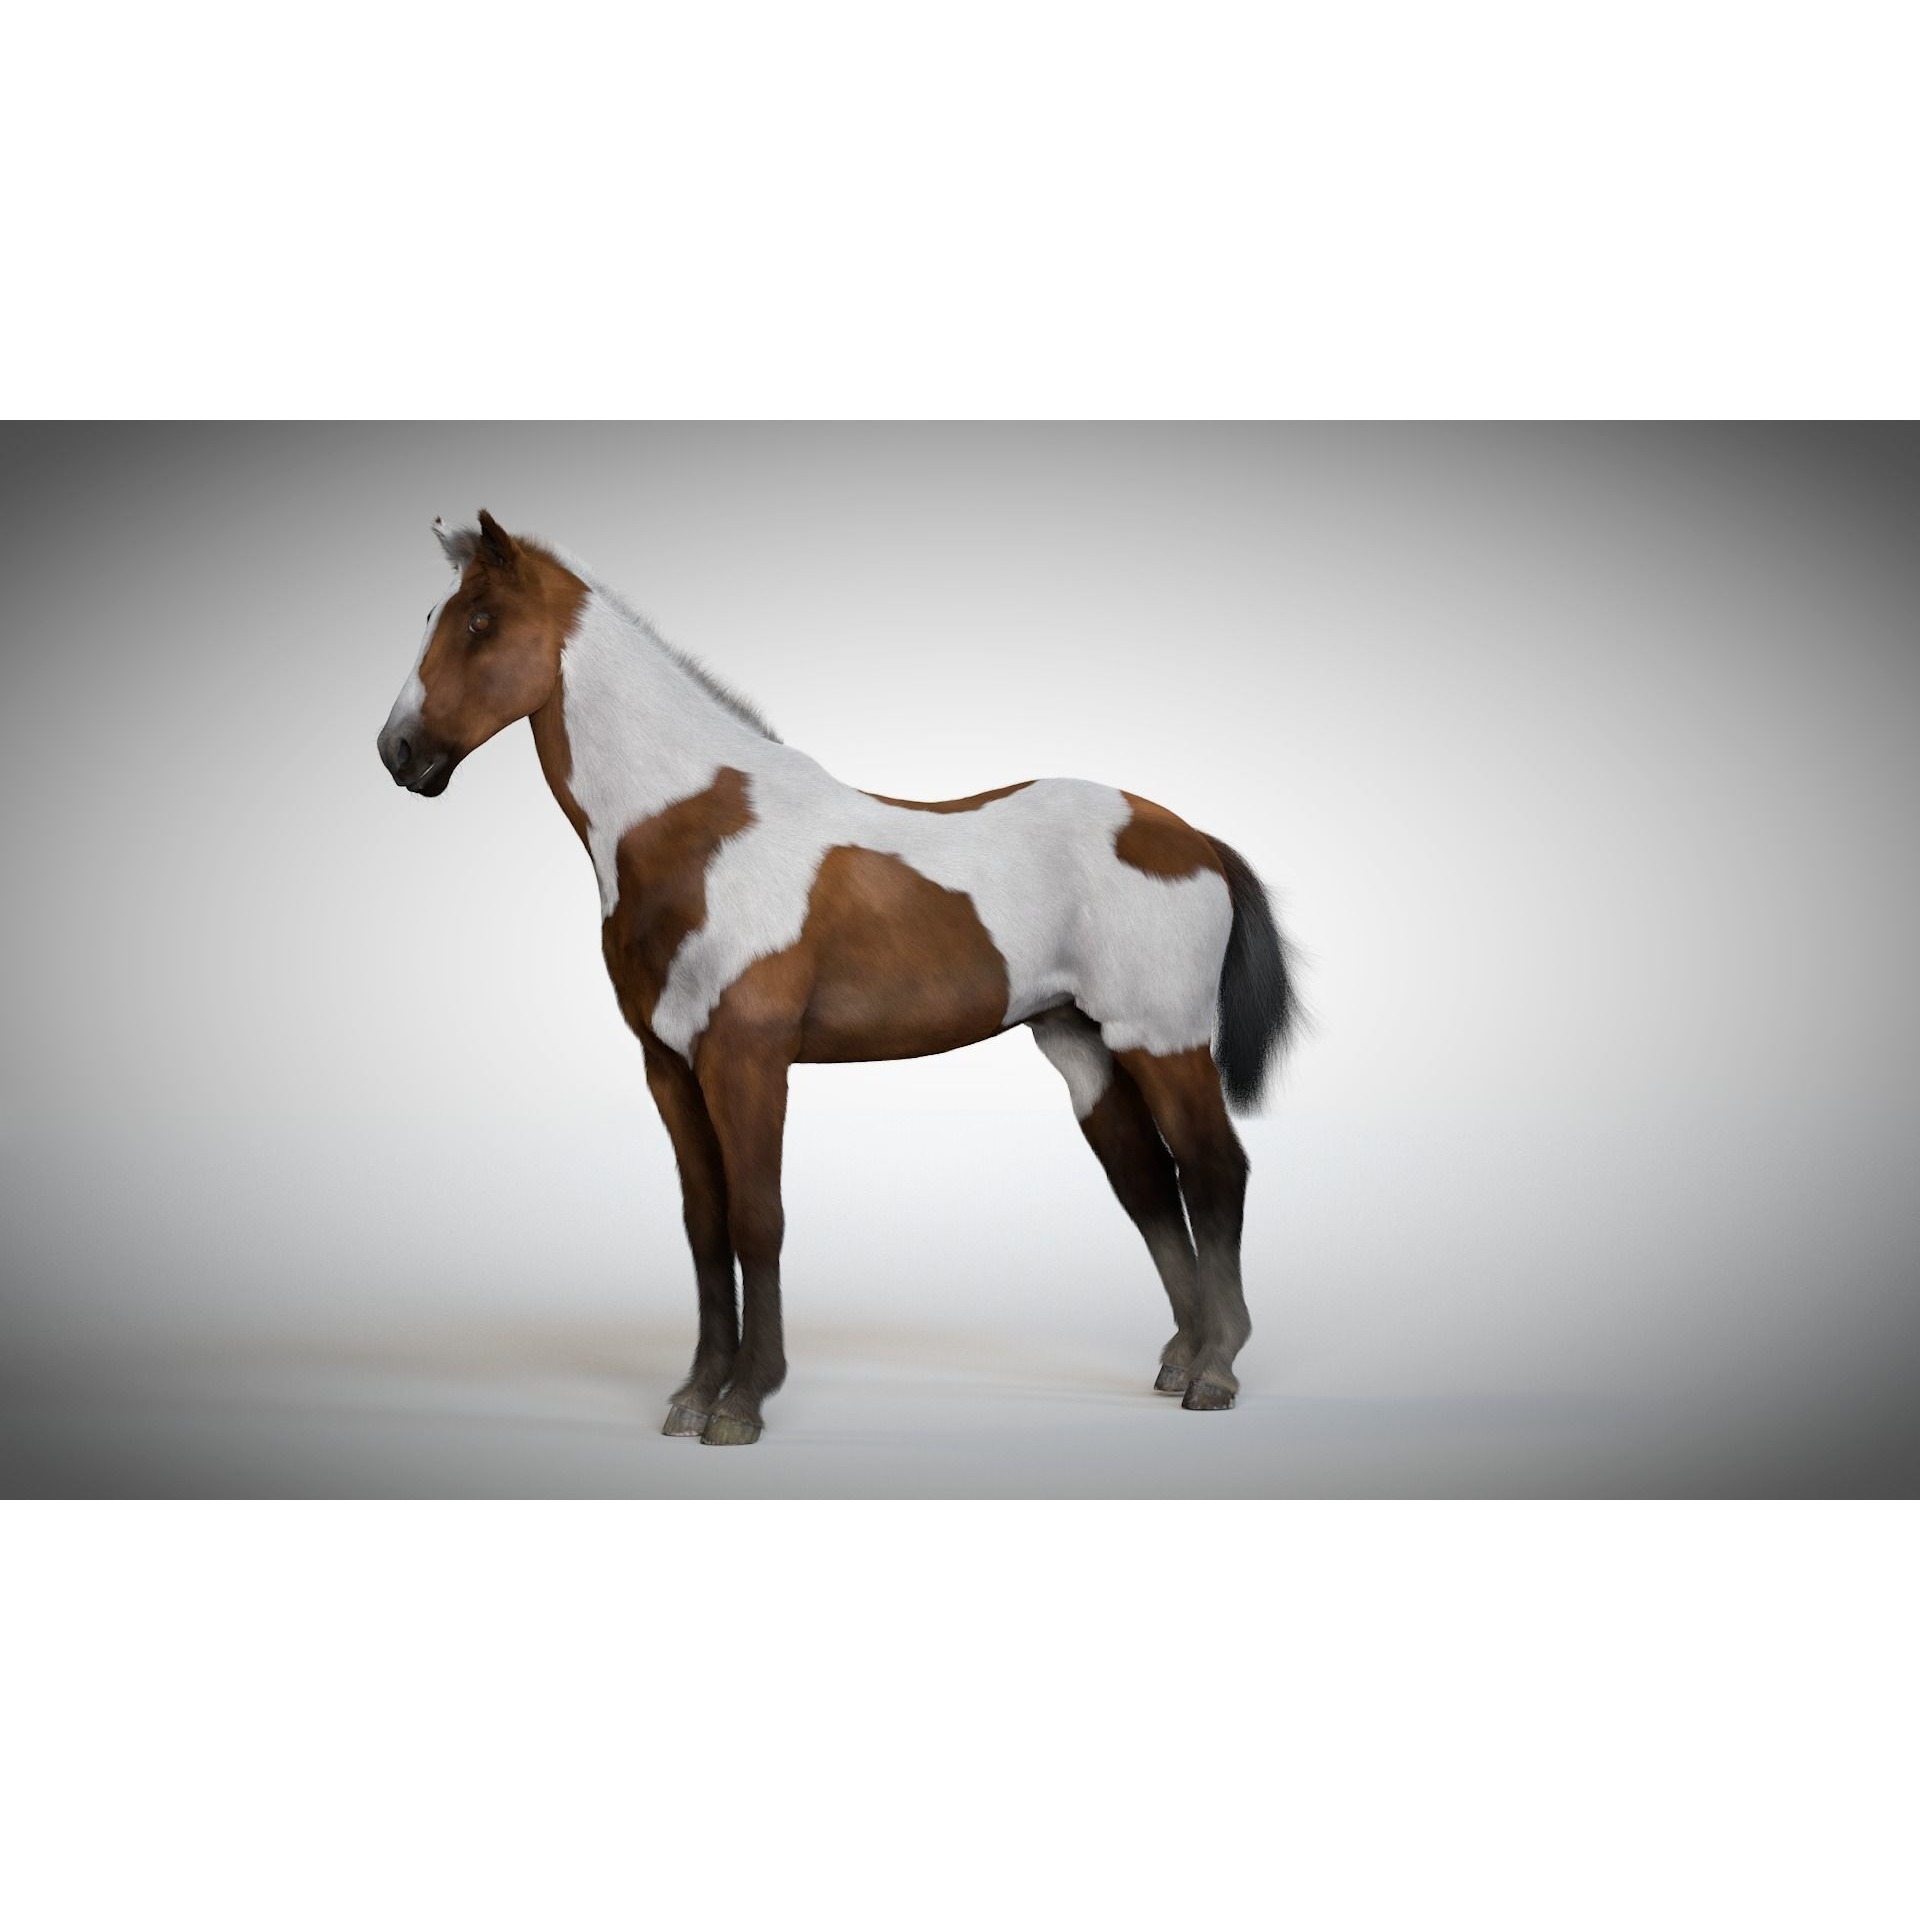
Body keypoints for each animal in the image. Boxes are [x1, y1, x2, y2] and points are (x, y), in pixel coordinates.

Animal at [377, 511, 1299, 1445]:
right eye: (433, 615)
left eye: (480, 621)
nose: (398, 752)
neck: (694, 834)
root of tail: (1189, 837)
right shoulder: (668, 1066)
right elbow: (704, 1225)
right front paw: (693, 1394)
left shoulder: (746, 1059)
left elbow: (757, 1219)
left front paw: (743, 1403)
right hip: (1082, 1044)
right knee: (1147, 1181)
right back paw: (1180, 1357)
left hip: (1164, 1040)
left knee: (1214, 1172)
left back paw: (1216, 1370)